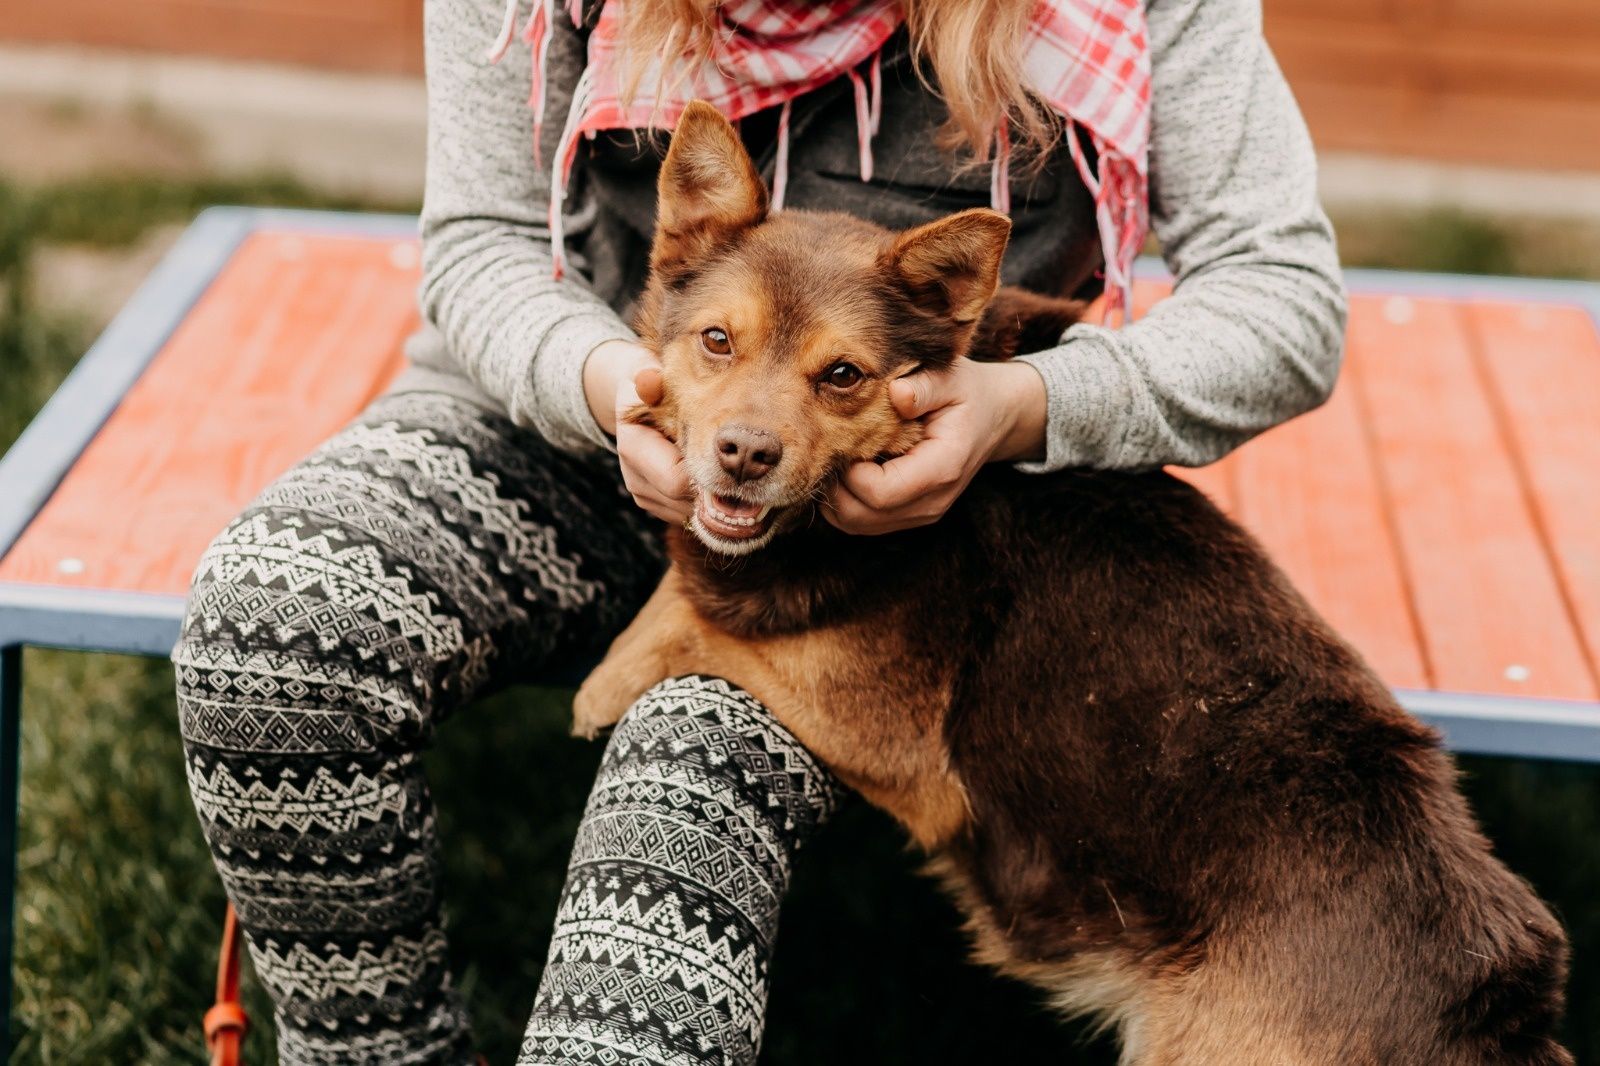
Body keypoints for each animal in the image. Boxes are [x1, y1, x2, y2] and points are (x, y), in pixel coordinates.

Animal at [569, 101, 1568, 1062]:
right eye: (716, 341)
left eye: (843, 375)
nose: (742, 456)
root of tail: (1485, 1001)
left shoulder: (892, 742)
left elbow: (701, 618)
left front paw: (603, 682)